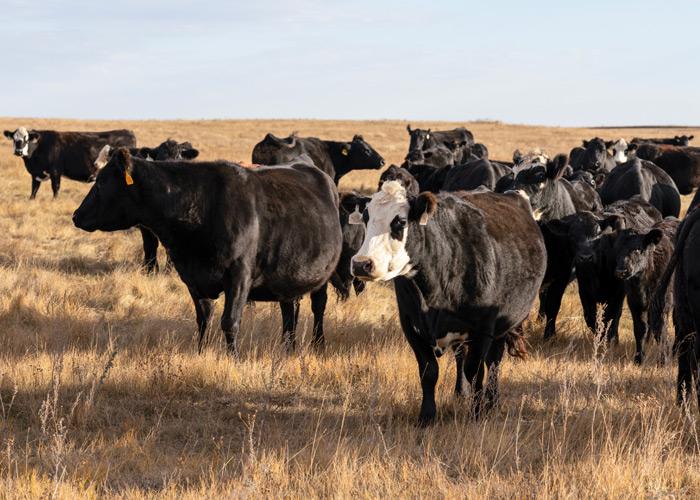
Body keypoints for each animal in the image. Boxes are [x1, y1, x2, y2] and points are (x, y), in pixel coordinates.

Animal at [3, 127, 136, 199]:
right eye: (14, 139)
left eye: (26, 140)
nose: (18, 151)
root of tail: (128, 131)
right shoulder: (35, 174)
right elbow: (33, 191)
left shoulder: (55, 172)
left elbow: (55, 189)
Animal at [73, 148, 342, 354]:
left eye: (102, 182)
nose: (76, 215)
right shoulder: (193, 277)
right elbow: (203, 320)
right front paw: (201, 352)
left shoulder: (239, 274)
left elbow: (230, 322)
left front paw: (233, 359)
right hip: (287, 273)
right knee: (289, 311)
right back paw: (288, 348)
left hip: (323, 274)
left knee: (318, 307)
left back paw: (318, 345)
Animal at [349, 181, 547, 424]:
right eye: (366, 218)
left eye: (400, 222)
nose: (361, 264)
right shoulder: (411, 325)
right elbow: (429, 371)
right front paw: (426, 416)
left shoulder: (484, 327)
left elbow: (475, 371)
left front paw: (477, 414)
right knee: (463, 356)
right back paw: (461, 394)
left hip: (505, 325)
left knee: (493, 362)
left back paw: (491, 402)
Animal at [612, 217, 679, 364]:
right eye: (617, 249)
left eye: (637, 249)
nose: (621, 271)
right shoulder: (635, 302)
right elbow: (640, 328)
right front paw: (639, 358)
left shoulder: (662, 303)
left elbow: (661, 330)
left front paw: (663, 360)